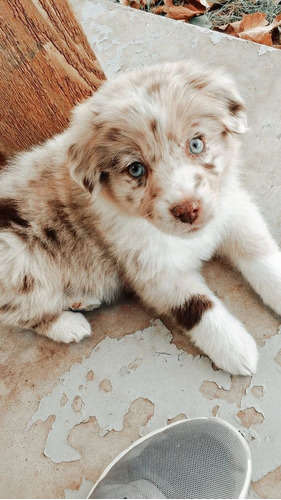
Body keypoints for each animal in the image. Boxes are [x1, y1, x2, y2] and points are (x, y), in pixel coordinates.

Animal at [1, 61, 278, 376]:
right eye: (136, 169)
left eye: (196, 145)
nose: (188, 210)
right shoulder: (152, 269)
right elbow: (196, 305)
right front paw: (235, 348)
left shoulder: (232, 208)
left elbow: (260, 252)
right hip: (17, 259)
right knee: (20, 312)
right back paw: (68, 325)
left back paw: (80, 298)